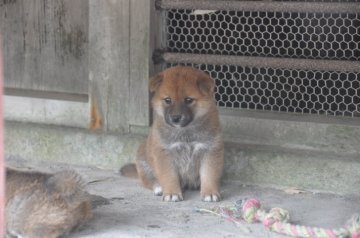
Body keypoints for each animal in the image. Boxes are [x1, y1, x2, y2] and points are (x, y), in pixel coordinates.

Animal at [121, 66, 222, 202]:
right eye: (168, 100)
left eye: (188, 100)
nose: (175, 118)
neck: (185, 132)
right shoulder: (165, 153)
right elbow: (169, 176)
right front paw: (172, 193)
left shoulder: (210, 150)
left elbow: (209, 174)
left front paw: (210, 192)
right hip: (143, 162)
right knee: (148, 181)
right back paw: (159, 188)